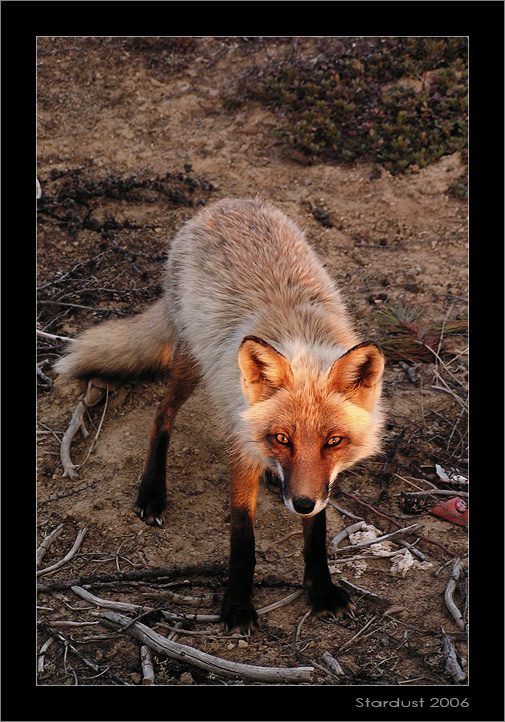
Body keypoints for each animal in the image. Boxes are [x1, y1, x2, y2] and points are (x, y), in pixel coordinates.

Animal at [54, 197, 385, 633]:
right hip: (190, 362)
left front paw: (322, 590)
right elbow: (243, 541)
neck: (300, 337)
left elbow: (316, 534)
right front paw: (238, 606)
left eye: (334, 441)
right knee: (161, 416)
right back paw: (152, 492)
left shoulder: (320, 482)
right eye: (282, 438)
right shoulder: (242, 450)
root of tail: (226, 203)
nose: (299, 504)